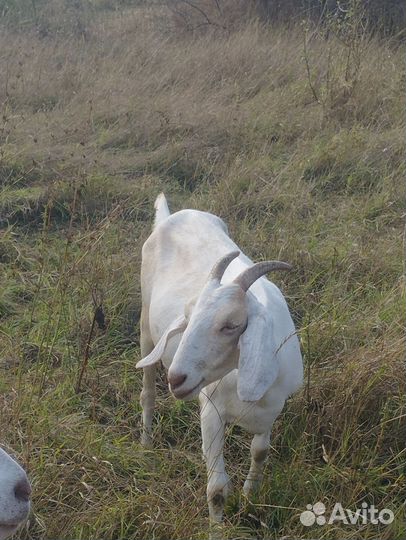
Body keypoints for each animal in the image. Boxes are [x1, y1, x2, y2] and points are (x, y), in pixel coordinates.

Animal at [136, 193, 302, 524]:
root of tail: (171, 216)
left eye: (231, 325)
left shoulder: (272, 408)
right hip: (146, 327)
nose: (176, 378)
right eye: (188, 316)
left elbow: (260, 452)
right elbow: (217, 489)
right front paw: (217, 528)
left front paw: (250, 497)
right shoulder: (212, 410)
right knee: (147, 390)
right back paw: (146, 443)